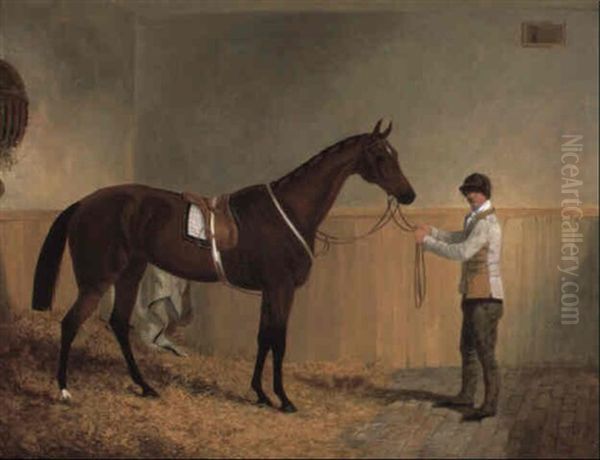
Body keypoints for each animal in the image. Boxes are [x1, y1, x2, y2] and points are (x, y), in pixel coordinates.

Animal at [30, 120, 414, 412]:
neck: (289, 211)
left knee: (119, 324)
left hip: (130, 273)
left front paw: (260, 394)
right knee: (71, 323)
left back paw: (145, 386)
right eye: (380, 155)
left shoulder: (270, 291)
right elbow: (279, 340)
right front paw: (284, 399)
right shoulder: (282, 288)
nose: (408, 195)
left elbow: (263, 338)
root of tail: (84, 203)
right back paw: (64, 390)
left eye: (396, 155)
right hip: (98, 280)